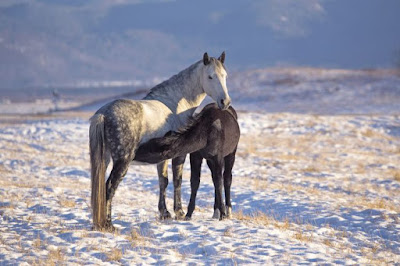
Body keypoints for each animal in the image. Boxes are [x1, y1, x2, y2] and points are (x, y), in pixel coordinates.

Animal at [89, 52, 230, 231]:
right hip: (122, 161)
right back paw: (108, 225)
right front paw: (179, 212)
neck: (174, 104)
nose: (225, 102)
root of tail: (103, 114)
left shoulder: (162, 158)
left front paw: (165, 213)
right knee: (109, 187)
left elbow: (163, 181)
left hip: (105, 159)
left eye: (225, 75)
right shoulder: (179, 155)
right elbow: (177, 180)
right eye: (210, 76)